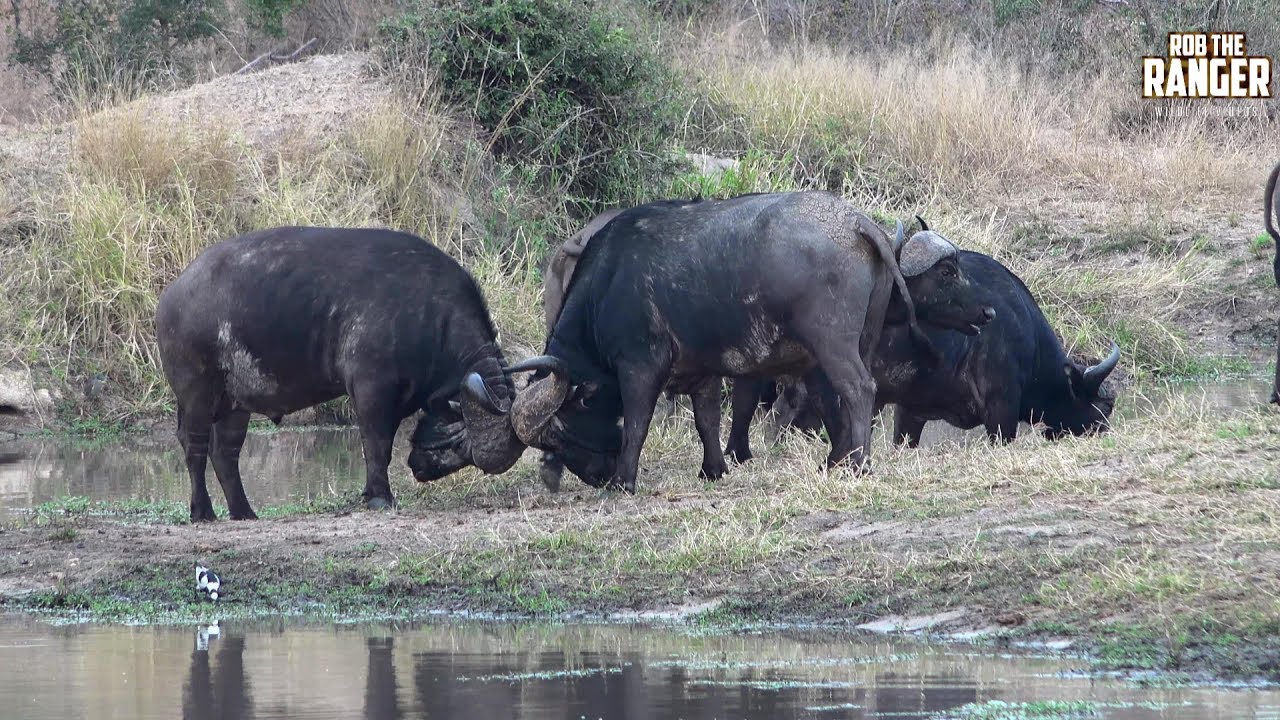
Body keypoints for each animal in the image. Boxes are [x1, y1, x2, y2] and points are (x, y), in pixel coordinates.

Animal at [156, 226, 528, 521]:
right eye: (462, 443)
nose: (420, 469)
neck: (431, 317)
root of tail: (171, 296)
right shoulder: (371, 390)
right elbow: (376, 444)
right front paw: (380, 497)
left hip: (235, 404)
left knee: (225, 454)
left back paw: (244, 512)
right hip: (197, 394)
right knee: (194, 446)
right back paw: (202, 512)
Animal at [493, 192, 995, 492]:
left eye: (559, 433)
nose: (597, 476)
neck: (609, 282)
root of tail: (856, 223)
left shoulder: (639, 365)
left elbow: (637, 422)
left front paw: (625, 480)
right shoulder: (702, 370)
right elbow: (708, 419)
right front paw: (714, 468)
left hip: (832, 344)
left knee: (859, 389)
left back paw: (857, 463)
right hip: (857, 341)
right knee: (848, 397)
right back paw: (838, 460)